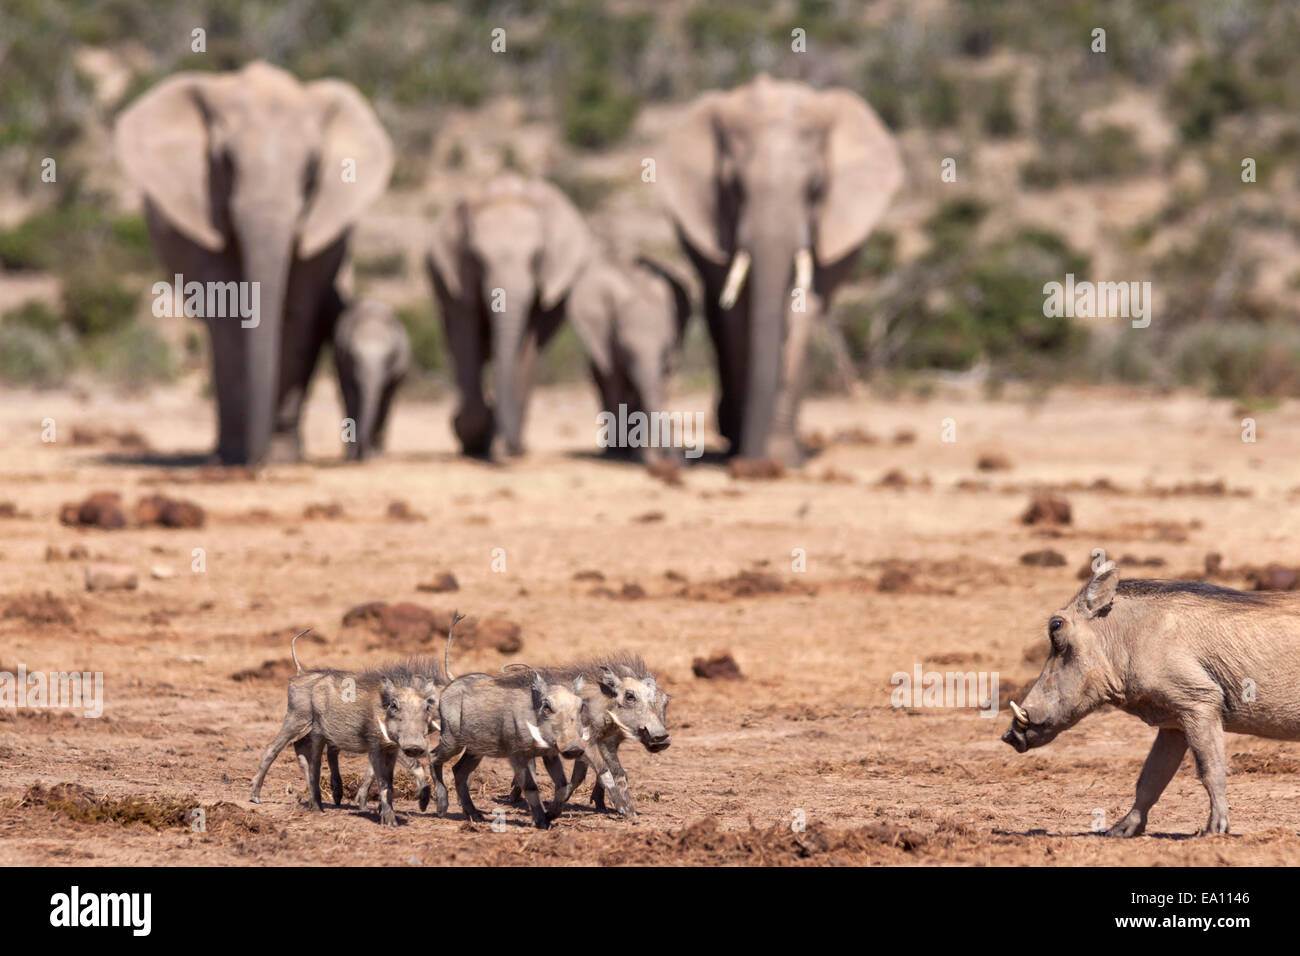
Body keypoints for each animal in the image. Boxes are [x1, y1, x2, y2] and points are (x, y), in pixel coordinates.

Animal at [115, 58, 390, 463]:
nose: (256, 462)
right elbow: (227, 311)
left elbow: (295, 314)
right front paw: (235, 455)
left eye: (311, 169)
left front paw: (281, 456)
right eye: (226, 163)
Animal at [332, 300, 408, 463]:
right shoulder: (343, 361)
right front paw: (351, 455)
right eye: (353, 356)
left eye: (389, 357)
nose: (362, 454)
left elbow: (383, 400)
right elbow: (351, 398)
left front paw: (374, 455)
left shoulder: (394, 370)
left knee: (386, 403)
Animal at [423, 174, 592, 463]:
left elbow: (525, 347)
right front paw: (473, 439)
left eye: (537, 257)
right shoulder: (458, 279)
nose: (516, 449)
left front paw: (501, 447)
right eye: (477, 259)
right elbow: (465, 339)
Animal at [569, 254, 691, 463]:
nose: (681, 461)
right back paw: (615, 451)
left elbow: (655, 387)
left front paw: (643, 457)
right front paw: (621, 454)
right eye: (625, 348)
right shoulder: (607, 345)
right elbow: (614, 382)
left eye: (665, 350)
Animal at [660, 71, 904, 468]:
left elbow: (803, 310)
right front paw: (747, 451)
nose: (753, 462)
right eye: (733, 188)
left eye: (815, 188)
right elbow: (739, 315)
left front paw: (782, 459)